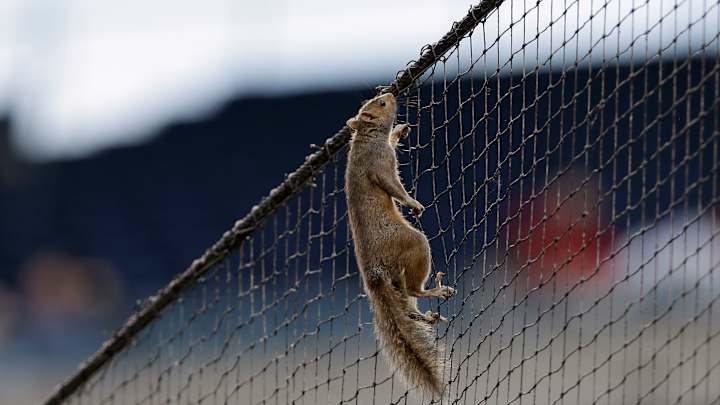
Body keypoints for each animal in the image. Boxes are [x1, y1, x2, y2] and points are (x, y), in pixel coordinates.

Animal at [344, 92, 455, 397]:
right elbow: (393, 187)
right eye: (381, 104)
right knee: (413, 289)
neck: (366, 137)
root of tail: (374, 273)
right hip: (414, 246)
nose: (391, 95)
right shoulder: (380, 164)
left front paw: (399, 131)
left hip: (398, 278)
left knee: (406, 304)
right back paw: (435, 292)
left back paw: (424, 318)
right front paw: (413, 203)